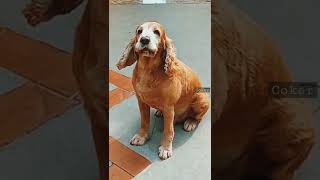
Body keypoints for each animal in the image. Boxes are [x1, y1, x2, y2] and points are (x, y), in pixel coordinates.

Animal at [116, 21, 209, 160]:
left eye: (157, 32)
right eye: (139, 31)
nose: (144, 40)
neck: (148, 70)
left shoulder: (169, 108)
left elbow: (168, 131)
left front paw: (165, 148)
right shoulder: (141, 101)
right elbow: (144, 122)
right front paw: (141, 137)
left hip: (202, 99)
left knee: (198, 117)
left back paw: (190, 122)